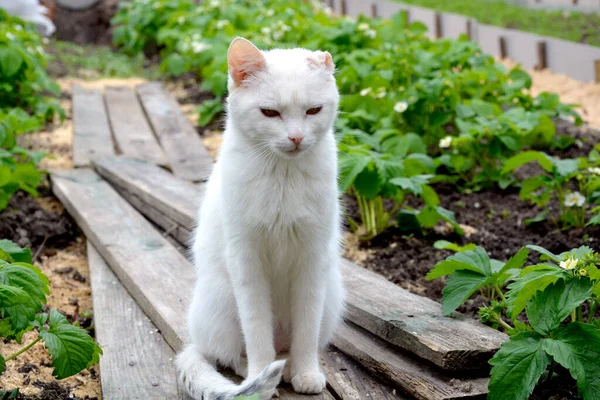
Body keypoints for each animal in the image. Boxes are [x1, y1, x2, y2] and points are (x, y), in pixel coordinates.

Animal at [176, 38, 344, 400]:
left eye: (313, 111)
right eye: (270, 112)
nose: (296, 138)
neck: (282, 175)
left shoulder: (313, 261)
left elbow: (306, 331)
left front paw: (307, 374)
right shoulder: (246, 260)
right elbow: (255, 331)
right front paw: (260, 375)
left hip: (331, 298)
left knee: (290, 347)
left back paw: (292, 368)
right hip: (221, 301)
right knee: (230, 354)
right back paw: (258, 377)